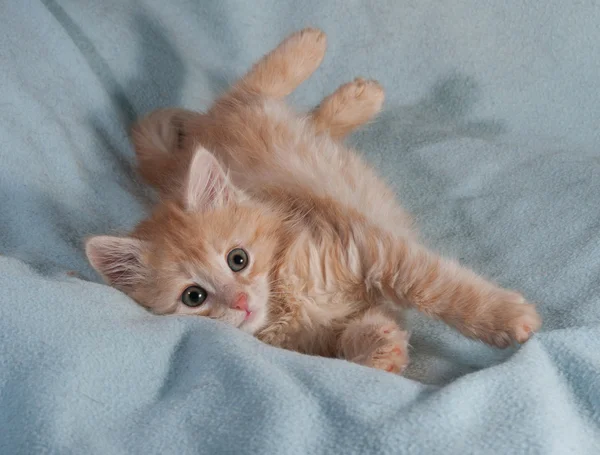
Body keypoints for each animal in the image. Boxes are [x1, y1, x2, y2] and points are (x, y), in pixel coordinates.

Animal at [86, 30, 540, 376]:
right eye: (193, 297)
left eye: (238, 259)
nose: (240, 302)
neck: (287, 297)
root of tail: (185, 157)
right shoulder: (344, 320)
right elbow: (362, 338)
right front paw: (383, 349)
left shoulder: (372, 246)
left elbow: (441, 289)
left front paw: (506, 317)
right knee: (305, 117)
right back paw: (356, 95)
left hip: (250, 116)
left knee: (250, 88)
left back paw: (320, 54)